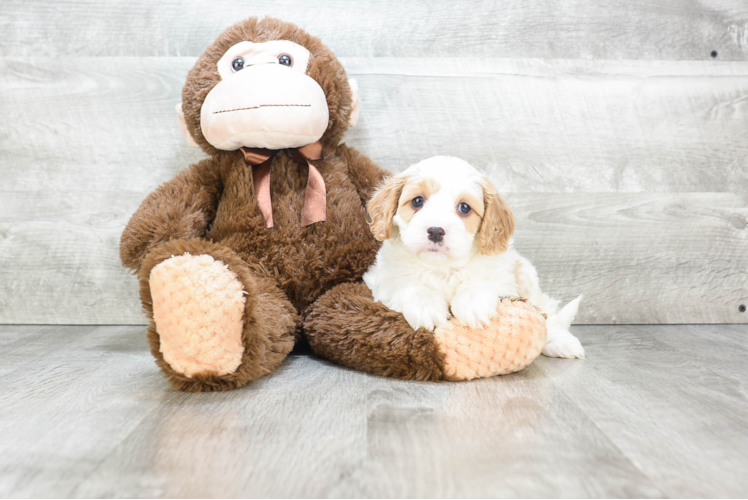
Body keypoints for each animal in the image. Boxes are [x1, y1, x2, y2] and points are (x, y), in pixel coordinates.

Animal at [362, 156, 584, 360]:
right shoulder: (383, 281)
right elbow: (408, 286)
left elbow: (480, 282)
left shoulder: (501, 278)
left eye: (464, 207)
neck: (443, 267)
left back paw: (560, 341)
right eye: (417, 201)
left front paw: (473, 304)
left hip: (526, 277)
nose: (435, 231)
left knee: (545, 313)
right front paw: (425, 307)